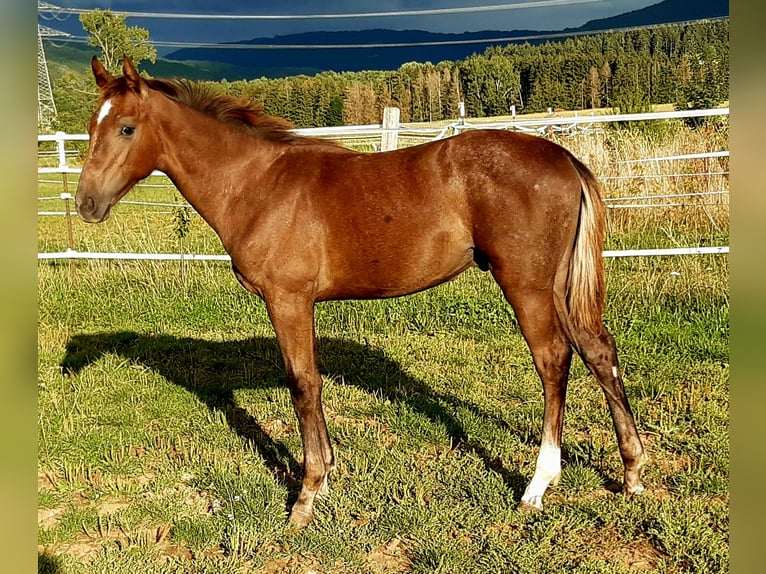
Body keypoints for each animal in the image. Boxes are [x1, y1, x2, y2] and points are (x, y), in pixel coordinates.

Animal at [75, 56, 646, 527]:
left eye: (126, 127)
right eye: (89, 127)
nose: (86, 204)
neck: (257, 184)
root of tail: (563, 157)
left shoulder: (288, 301)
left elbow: (303, 385)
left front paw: (306, 498)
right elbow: (310, 382)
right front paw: (326, 478)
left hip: (525, 284)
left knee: (553, 359)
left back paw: (537, 486)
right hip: (558, 285)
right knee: (598, 350)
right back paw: (632, 473)